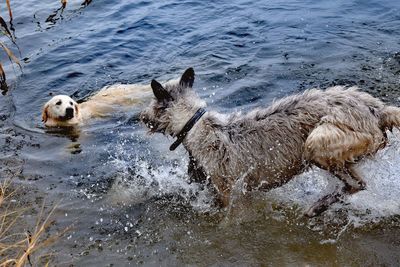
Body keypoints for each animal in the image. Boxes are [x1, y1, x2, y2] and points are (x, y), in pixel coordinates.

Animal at [140, 68, 400, 217]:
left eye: (154, 103)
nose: (140, 116)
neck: (195, 125)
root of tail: (377, 110)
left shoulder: (225, 190)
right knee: (357, 184)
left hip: (318, 141)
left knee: (355, 185)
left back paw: (317, 207)